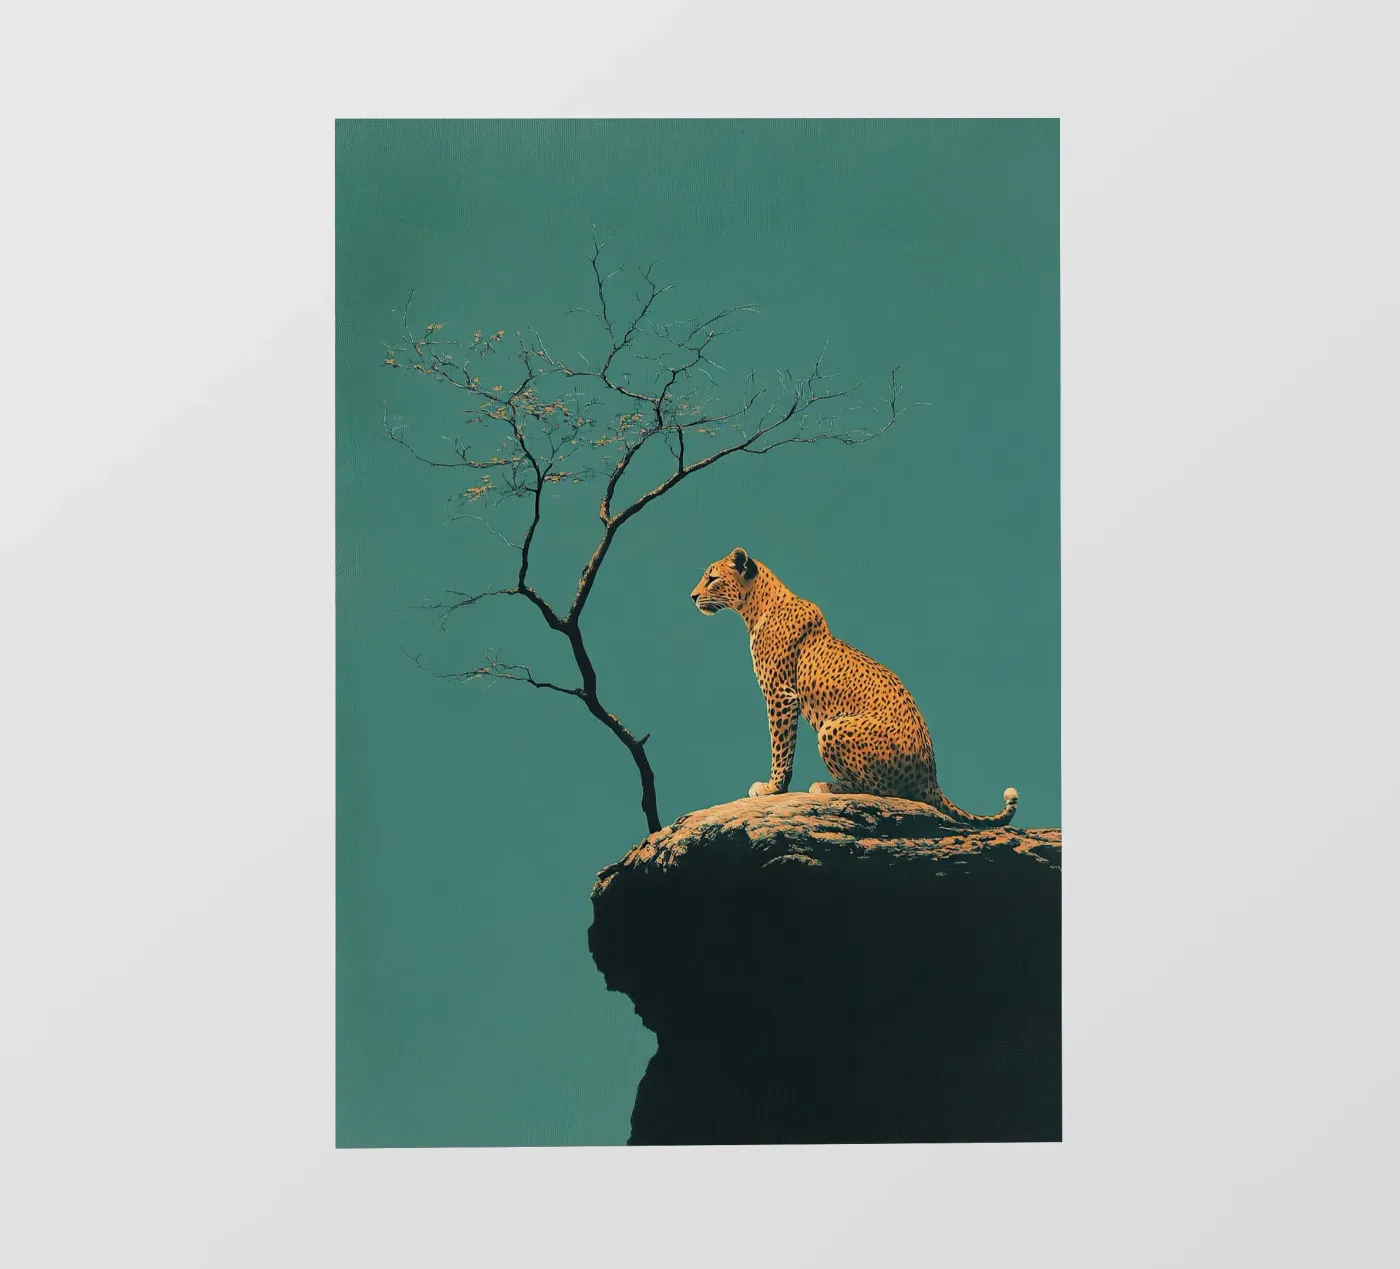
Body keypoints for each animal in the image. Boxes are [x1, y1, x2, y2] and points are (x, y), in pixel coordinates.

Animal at [690, 547, 1018, 826]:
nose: (692, 596)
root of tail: (931, 779)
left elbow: (781, 745)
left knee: (880, 791)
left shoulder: (781, 694)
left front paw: (772, 787)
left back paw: (827, 787)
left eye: (712, 578)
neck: (755, 606)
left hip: (832, 727)